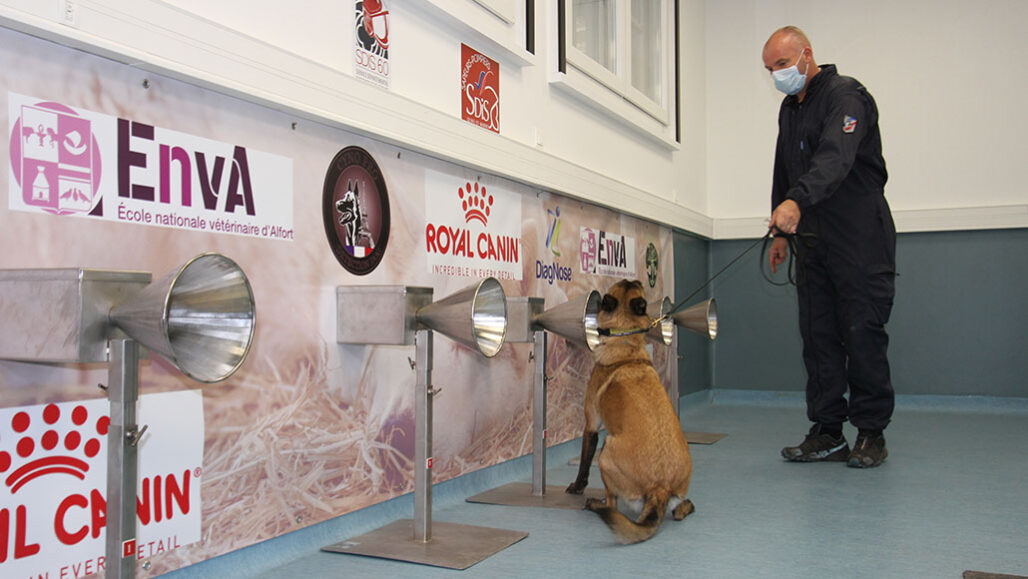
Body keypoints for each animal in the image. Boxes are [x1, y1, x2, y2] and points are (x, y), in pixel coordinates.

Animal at [567, 279, 694, 543]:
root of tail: (660, 489)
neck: (625, 342)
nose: (634, 279)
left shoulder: (591, 425)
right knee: (684, 508)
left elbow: (584, 462)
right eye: (633, 284)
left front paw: (577, 487)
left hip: (605, 453)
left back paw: (595, 503)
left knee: (612, 503)